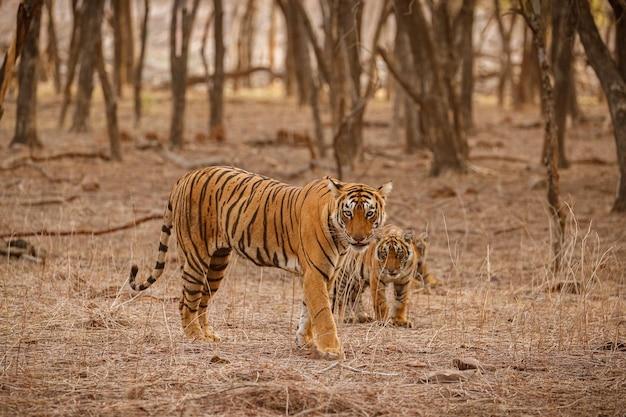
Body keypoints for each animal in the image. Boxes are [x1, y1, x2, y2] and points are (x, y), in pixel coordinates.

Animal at [128, 165, 390, 358]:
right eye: (348, 213)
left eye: (369, 213)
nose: (359, 238)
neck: (339, 235)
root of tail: (186, 175)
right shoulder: (316, 273)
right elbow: (323, 312)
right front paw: (332, 349)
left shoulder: (324, 274)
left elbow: (308, 311)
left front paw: (304, 342)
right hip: (196, 257)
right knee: (186, 301)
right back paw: (195, 336)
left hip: (216, 264)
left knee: (202, 300)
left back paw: (209, 334)